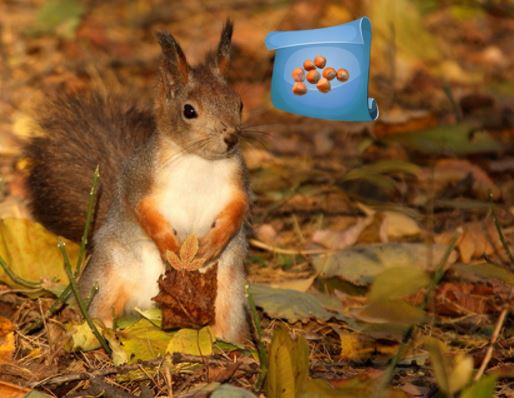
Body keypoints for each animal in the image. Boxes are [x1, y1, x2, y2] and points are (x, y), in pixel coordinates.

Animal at [25, 21, 250, 342]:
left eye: (239, 103)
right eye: (189, 110)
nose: (231, 138)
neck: (199, 161)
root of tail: (148, 305)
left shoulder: (237, 181)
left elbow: (237, 210)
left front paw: (213, 244)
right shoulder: (142, 179)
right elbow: (144, 210)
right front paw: (169, 249)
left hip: (228, 290)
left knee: (226, 320)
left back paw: (231, 343)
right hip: (107, 275)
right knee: (98, 307)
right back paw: (101, 333)